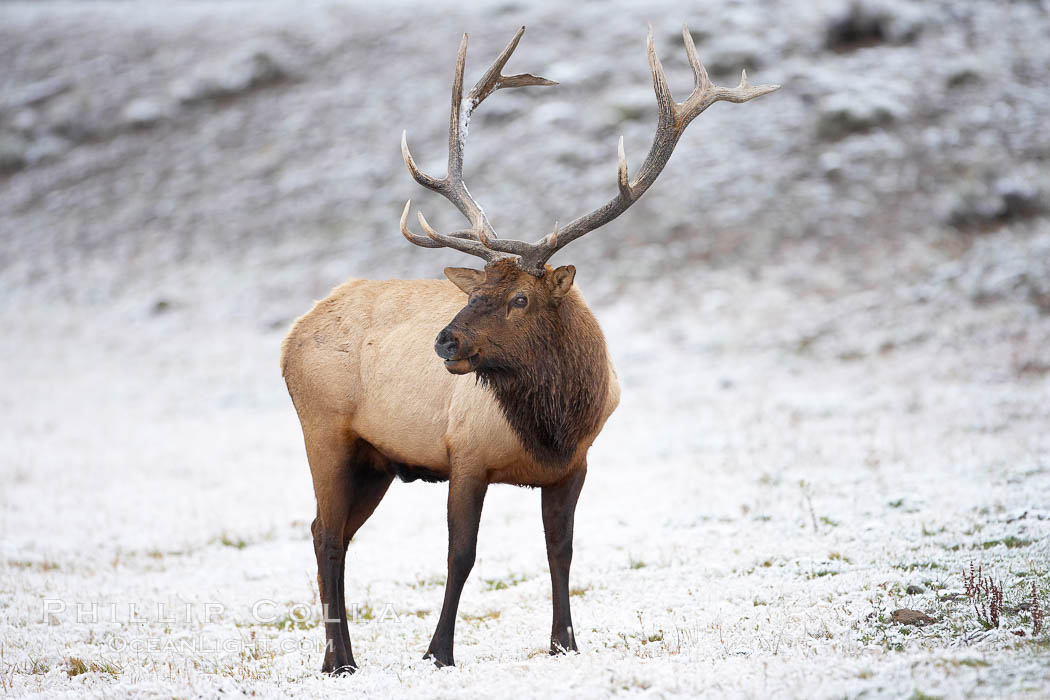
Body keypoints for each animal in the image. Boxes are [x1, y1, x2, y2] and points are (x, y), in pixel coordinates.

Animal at [281, 24, 781, 675]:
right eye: (477, 290)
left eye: (519, 297)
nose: (445, 339)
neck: (552, 425)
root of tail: (290, 336)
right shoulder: (465, 455)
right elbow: (461, 554)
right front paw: (438, 652)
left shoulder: (574, 465)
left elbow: (560, 550)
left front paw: (564, 642)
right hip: (325, 430)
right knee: (327, 534)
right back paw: (340, 659)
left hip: (376, 461)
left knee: (329, 530)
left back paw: (334, 656)